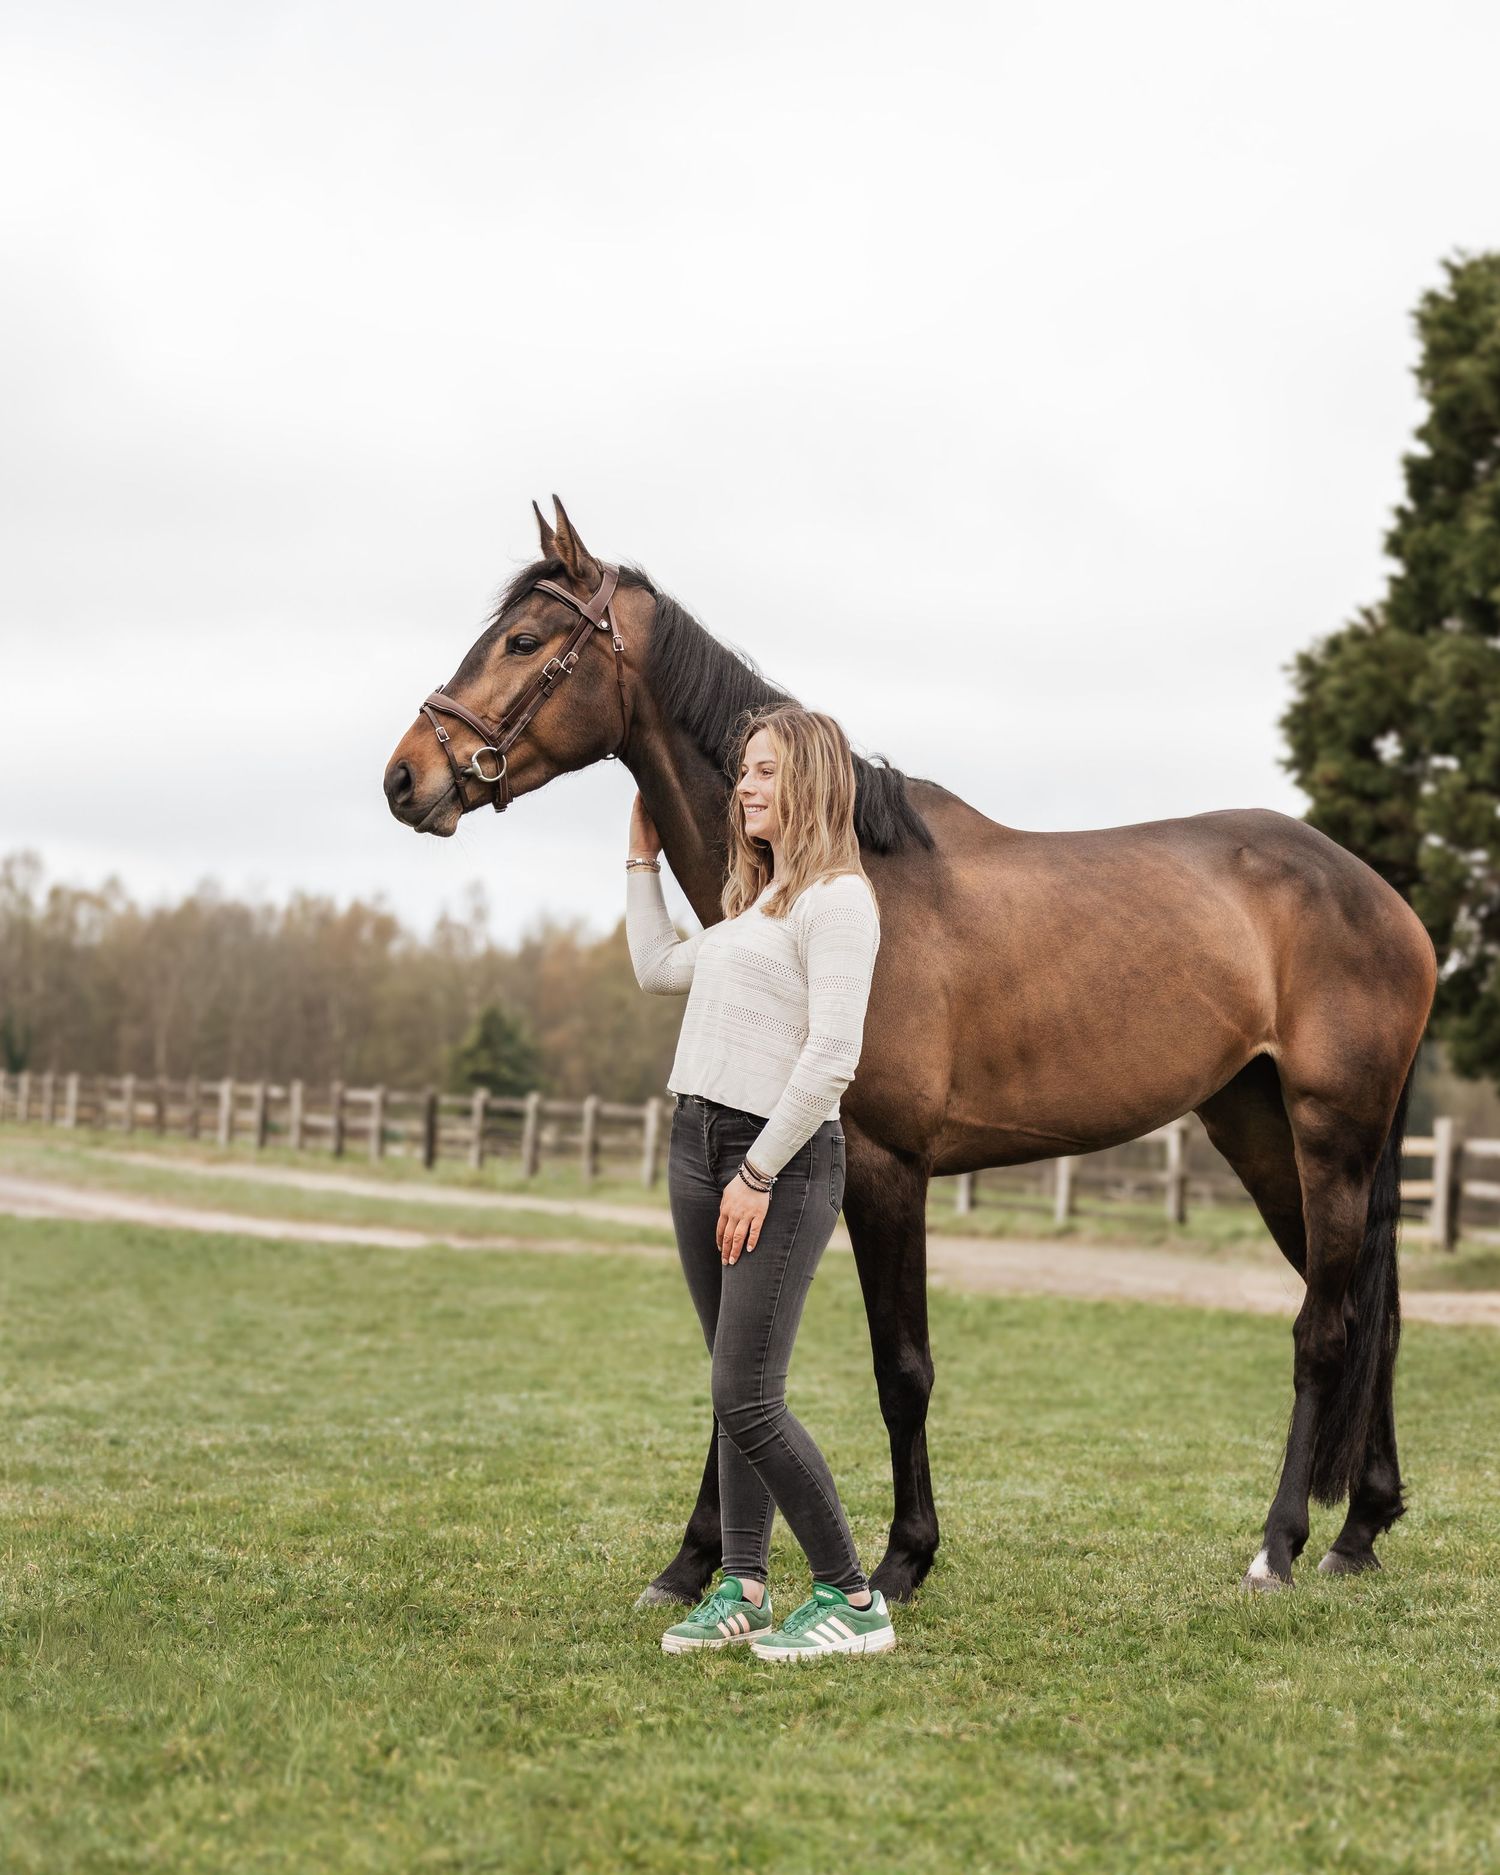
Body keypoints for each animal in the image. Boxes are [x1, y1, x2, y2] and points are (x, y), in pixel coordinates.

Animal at [383, 498, 1437, 1602]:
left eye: (524, 641)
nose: (405, 777)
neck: (845, 884)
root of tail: (1387, 903)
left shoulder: (889, 1169)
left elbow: (902, 1367)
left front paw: (902, 1556)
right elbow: (740, 1363)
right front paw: (693, 1559)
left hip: (1331, 1138)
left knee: (1326, 1329)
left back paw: (1279, 1544)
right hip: (1264, 1134)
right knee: (1377, 1316)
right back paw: (1360, 1527)